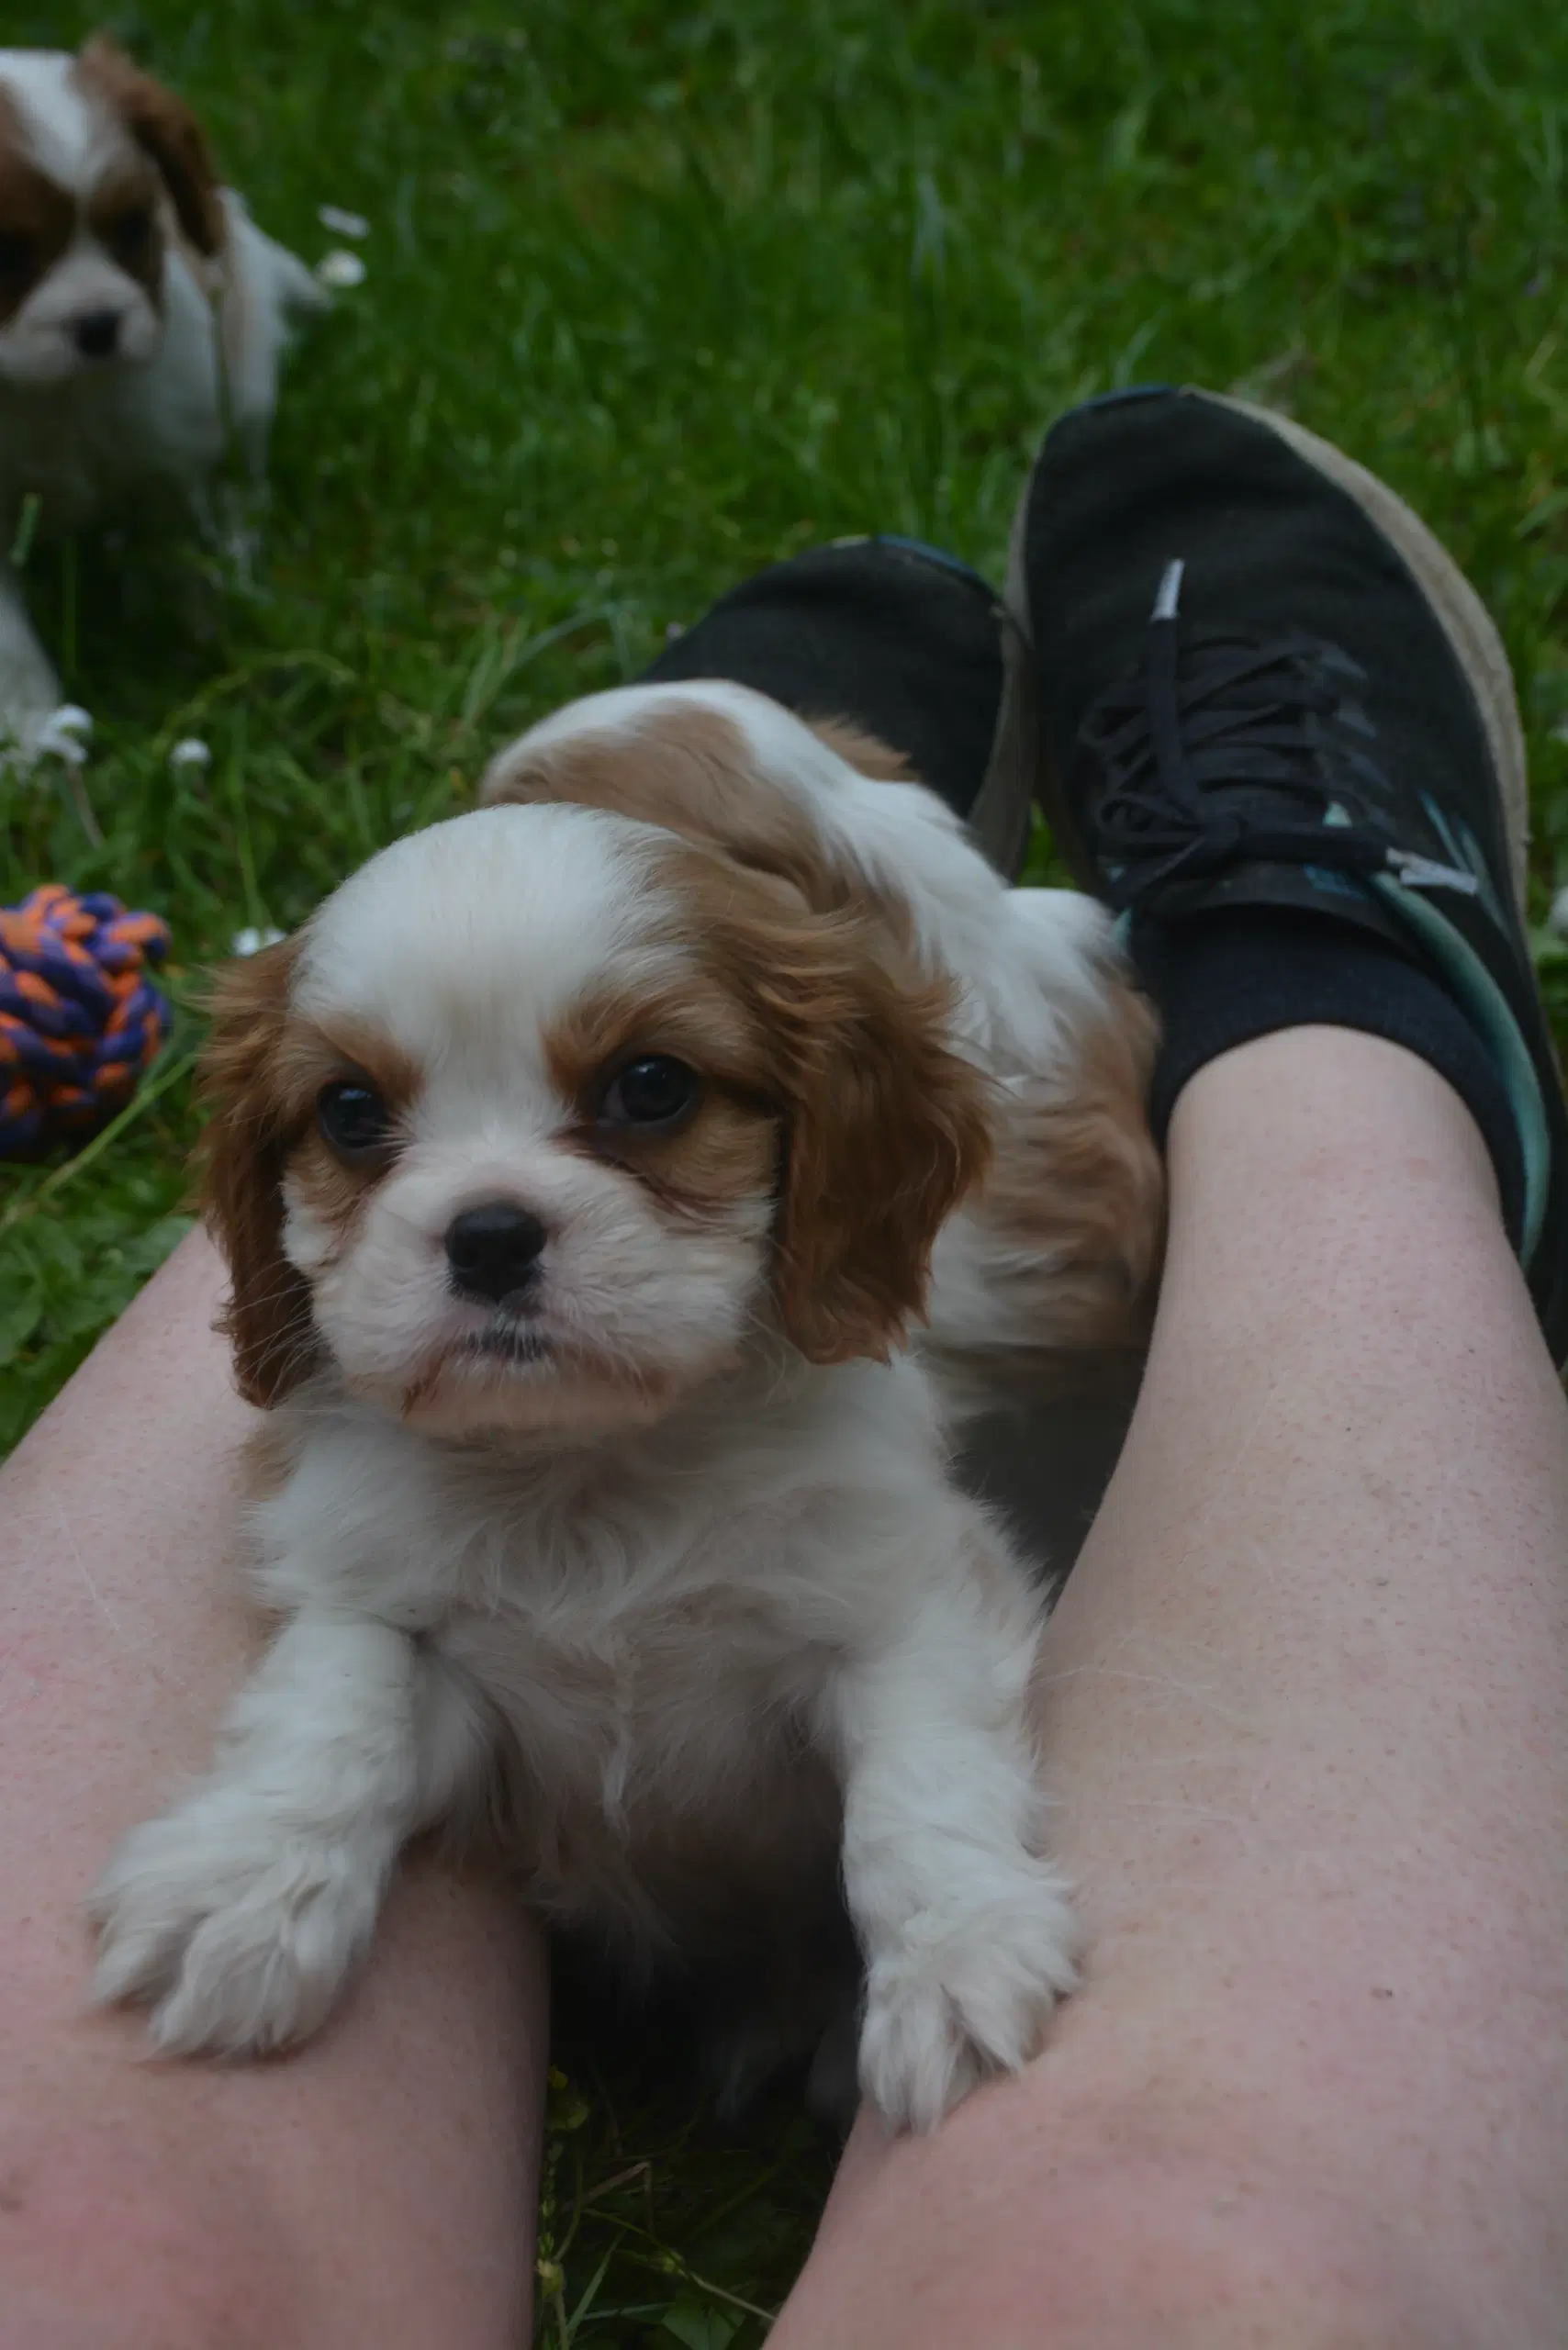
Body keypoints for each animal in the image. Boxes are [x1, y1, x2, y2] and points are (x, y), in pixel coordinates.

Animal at [0, 41, 321, 752]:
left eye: (131, 228)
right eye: (7, 254)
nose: (98, 325)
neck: (53, 398)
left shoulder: (172, 458)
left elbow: (186, 556)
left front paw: (208, 643)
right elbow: (8, 643)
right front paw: (33, 735)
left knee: (242, 482)